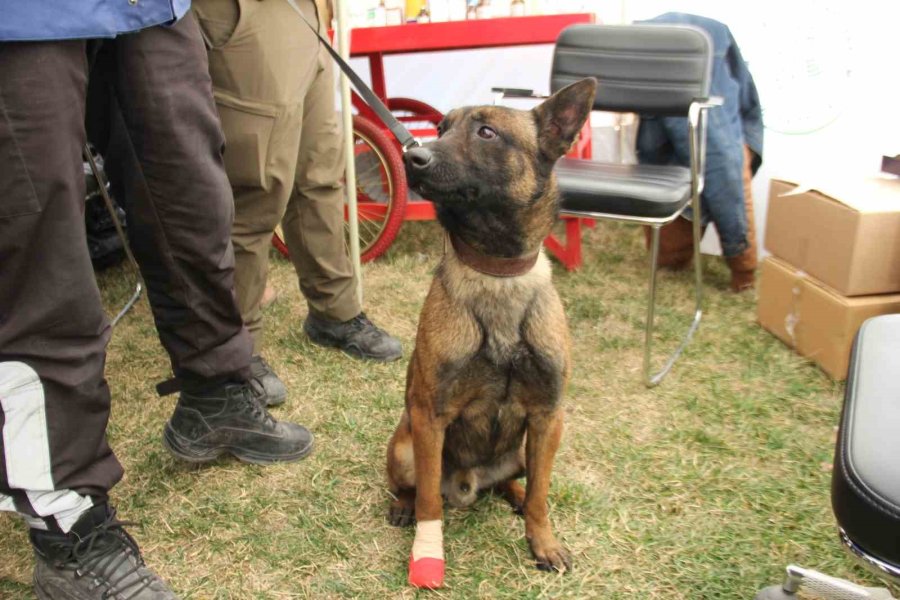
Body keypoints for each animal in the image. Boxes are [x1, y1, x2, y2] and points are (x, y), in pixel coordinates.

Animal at [386, 77, 596, 588]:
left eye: (486, 132)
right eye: (441, 127)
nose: (413, 156)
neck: (497, 273)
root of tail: (470, 482)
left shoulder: (548, 416)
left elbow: (542, 492)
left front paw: (543, 541)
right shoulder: (429, 416)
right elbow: (430, 500)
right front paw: (427, 553)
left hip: (524, 448)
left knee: (517, 479)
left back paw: (514, 496)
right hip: (404, 446)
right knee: (413, 487)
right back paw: (403, 507)